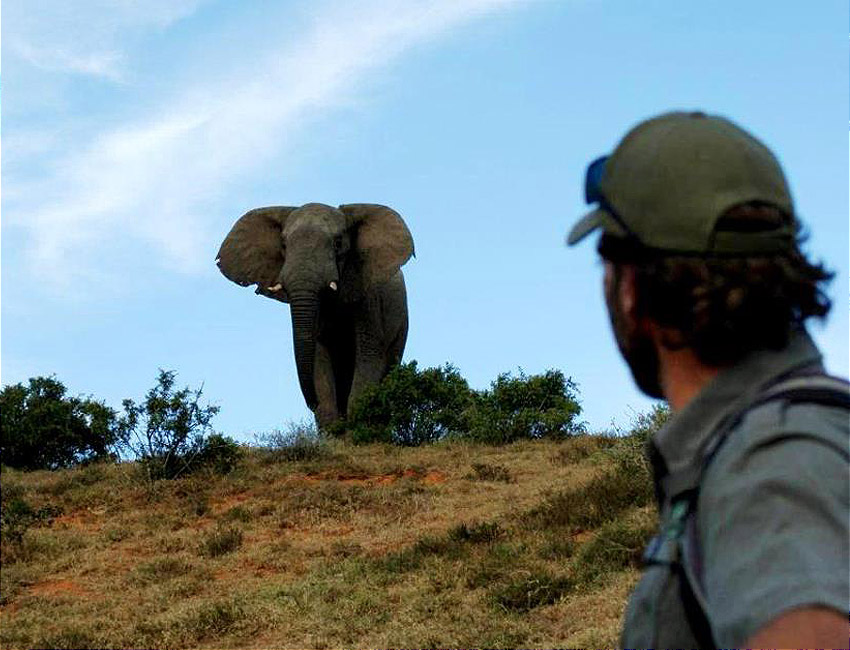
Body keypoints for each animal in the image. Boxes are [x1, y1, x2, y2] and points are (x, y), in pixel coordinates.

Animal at [216, 202, 414, 430]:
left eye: (338, 243)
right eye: (283, 245)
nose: (311, 402)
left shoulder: (367, 296)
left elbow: (368, 356)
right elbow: (318, 360)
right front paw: (333, 432)